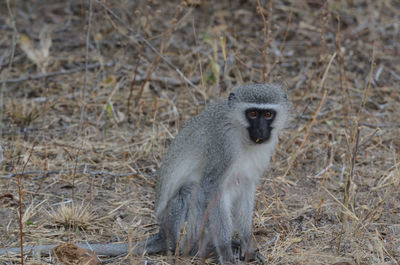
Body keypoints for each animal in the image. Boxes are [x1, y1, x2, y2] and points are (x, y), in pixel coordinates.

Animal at [139, 82, 290, 262]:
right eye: (252, 114)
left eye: (268, 114)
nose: (260, 130)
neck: (240, 133)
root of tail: (162, 234)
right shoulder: (223, 144)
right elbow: (212, 188)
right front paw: (225, 252)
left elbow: (245, 188)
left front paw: (247, 244)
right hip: (173, 226)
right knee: (192, 190)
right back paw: (199, 249)